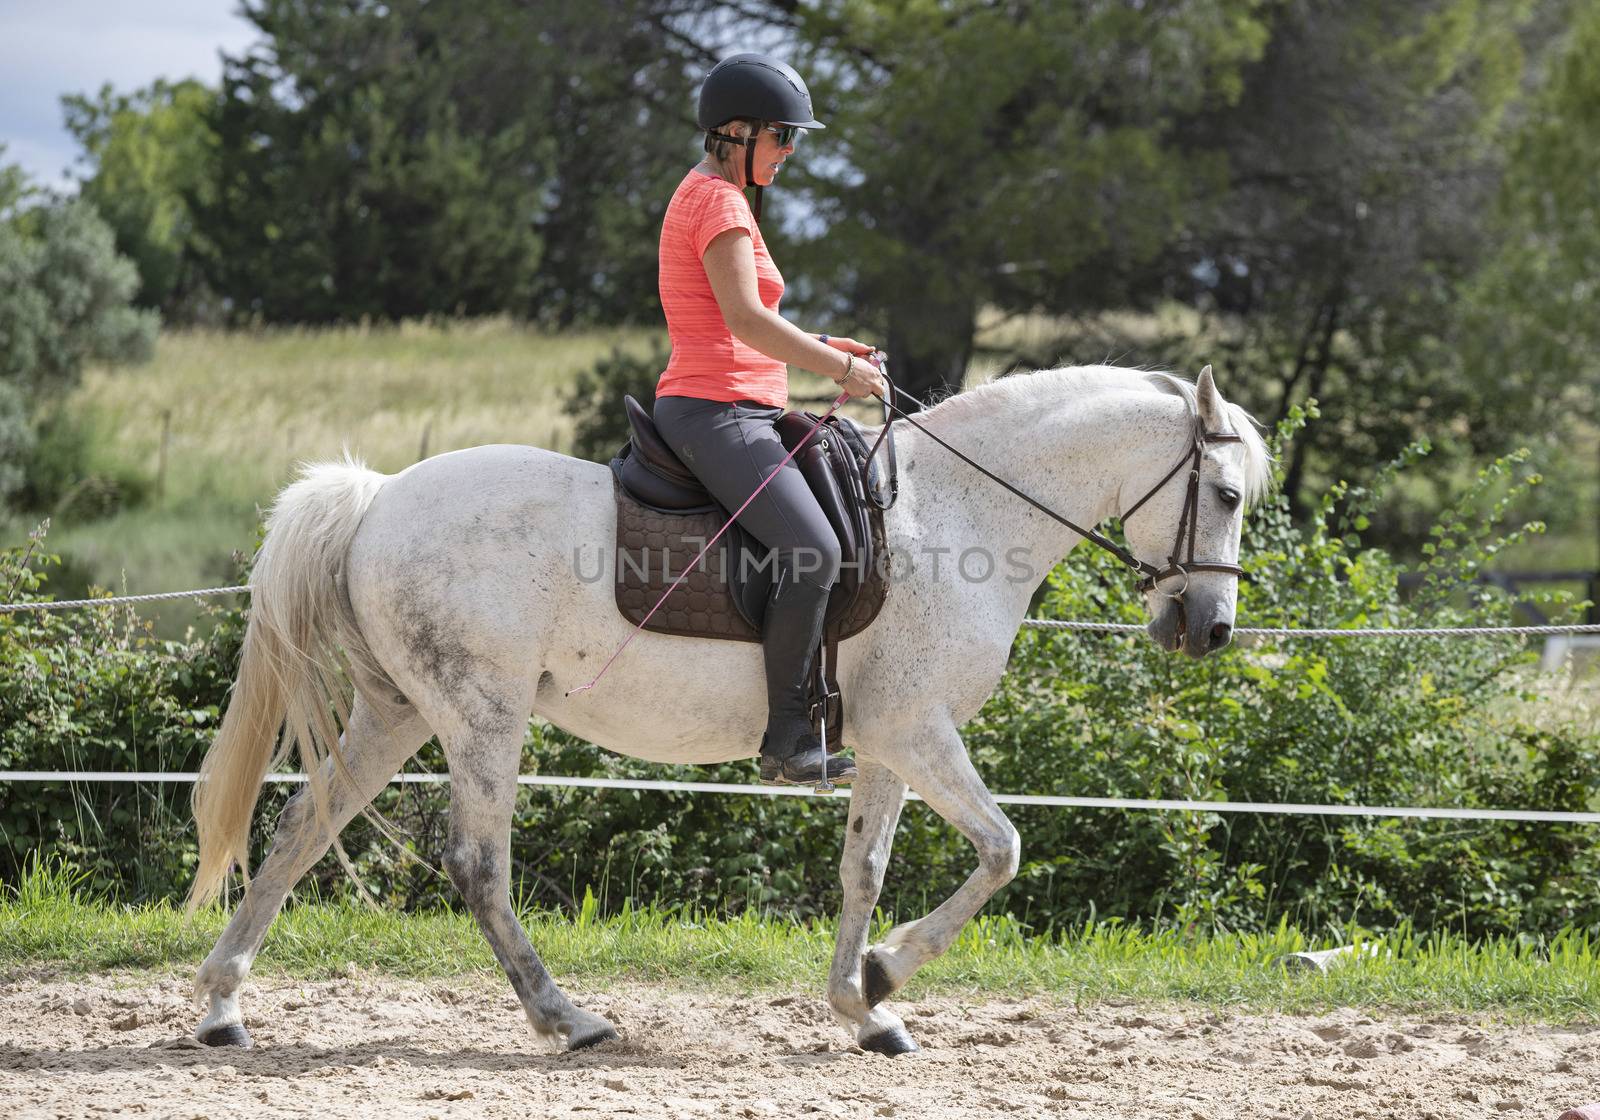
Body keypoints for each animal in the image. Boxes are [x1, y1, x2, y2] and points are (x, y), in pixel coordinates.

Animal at [187, 363, 1267, 1056]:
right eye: (1222, 493)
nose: (1209, 628)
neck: (961, 509)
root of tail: (374, 500)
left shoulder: (885, 743)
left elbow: (864, 868)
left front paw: (863, 1007)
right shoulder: (918, 730)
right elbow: (1003, 848)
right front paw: (886, 974)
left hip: (399, 711)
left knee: (301, 826)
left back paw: (222, 1007)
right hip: (481, 716)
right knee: (476, 864)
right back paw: (566, 1019)